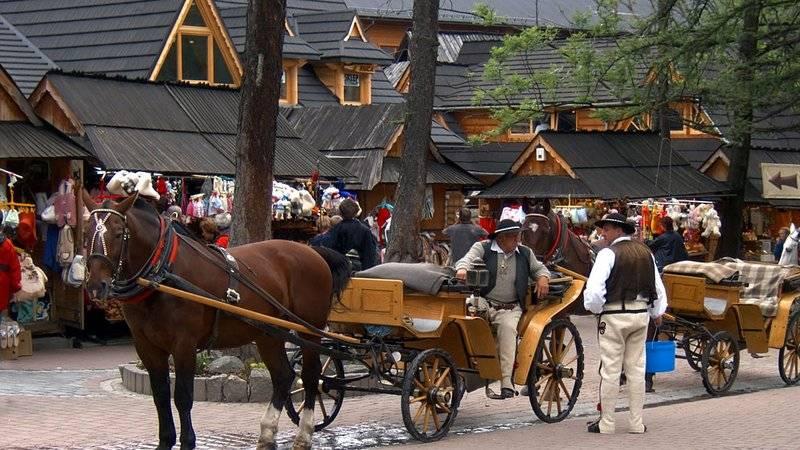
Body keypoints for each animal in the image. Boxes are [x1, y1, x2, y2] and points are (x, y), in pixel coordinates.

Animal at [80, 193, 350, 450]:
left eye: (118, 233)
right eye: (86, 232)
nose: (95, 286)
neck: (162, 273)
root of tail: (314, 252)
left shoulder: (184, 344)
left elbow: (182, 396)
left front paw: (187, 442)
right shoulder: (146, 346)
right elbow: (160, 396)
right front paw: (165, 441)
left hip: (308, 330)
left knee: (311, 375)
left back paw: (304, 434)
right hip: (269, 333)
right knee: (283, 375)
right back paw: (267, 433)